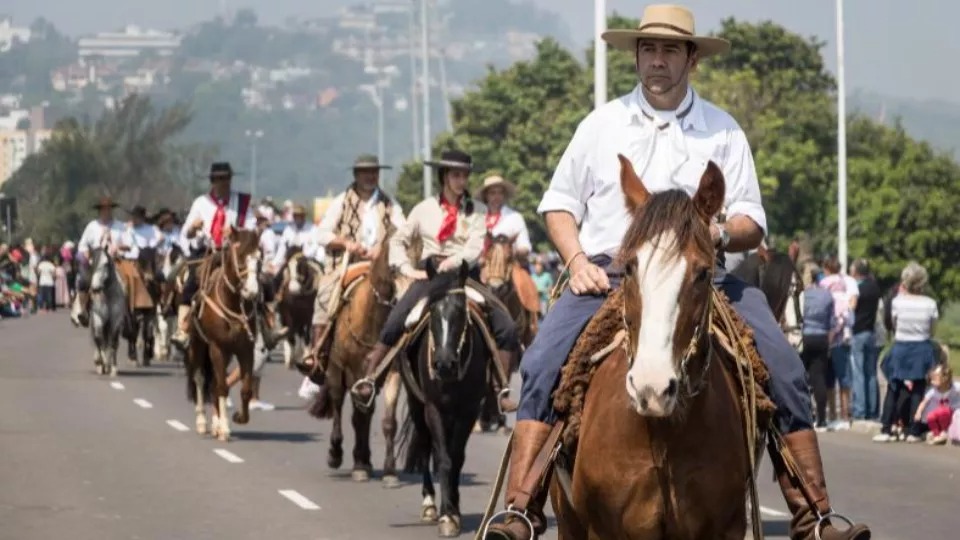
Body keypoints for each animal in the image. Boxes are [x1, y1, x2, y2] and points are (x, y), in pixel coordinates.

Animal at [185, 230, 262, 440]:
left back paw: (215, 424)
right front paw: (225, 428)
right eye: (241, 257)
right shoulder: (217, 348)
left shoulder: (246, 350)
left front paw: (238, 417)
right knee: (200, 378)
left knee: (213, 383)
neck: (232, 304)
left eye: (259, 258)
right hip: (199, 346)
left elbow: (244, 389)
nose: (252, 291)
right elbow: (222, 387)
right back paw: (202, 421)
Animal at [396, 260, 488, 536]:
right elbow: (444, 459)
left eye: (460, 313)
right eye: (433, 312)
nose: (444, 364)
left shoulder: (468, 411)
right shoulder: (433, 408)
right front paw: (447, 515)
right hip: (417, 407)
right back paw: (429, 504)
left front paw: (454, 509)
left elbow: (456, 458)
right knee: (427, 448)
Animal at [548, 154, 764, 536]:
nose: (652, 388)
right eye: (629, 268)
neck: (661, 433)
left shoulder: (727, 527)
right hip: (567, 519)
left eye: (703, 273)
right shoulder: (603, 529)